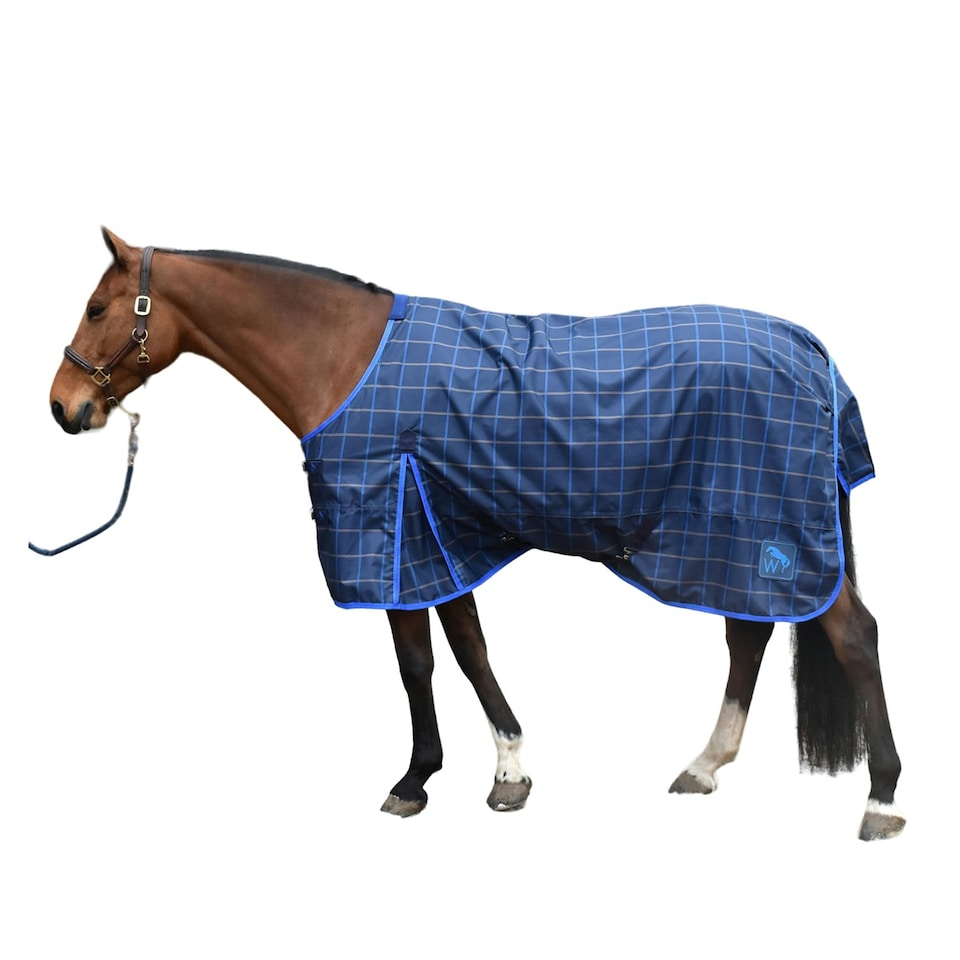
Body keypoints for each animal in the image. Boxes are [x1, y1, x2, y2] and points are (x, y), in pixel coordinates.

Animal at [43, 228, 904, 840]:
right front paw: (505, 773)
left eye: (96, 307)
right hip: (737, 539)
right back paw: (704, 765)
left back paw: (882, 798)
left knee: (851, 635)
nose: (62, 406)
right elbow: (463, 652)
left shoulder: (393, 534)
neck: (347, 361)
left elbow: (419, 665)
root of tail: (811, 351)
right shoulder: (436, 539)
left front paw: (417, 781)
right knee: (748, 634)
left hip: (767, 534)